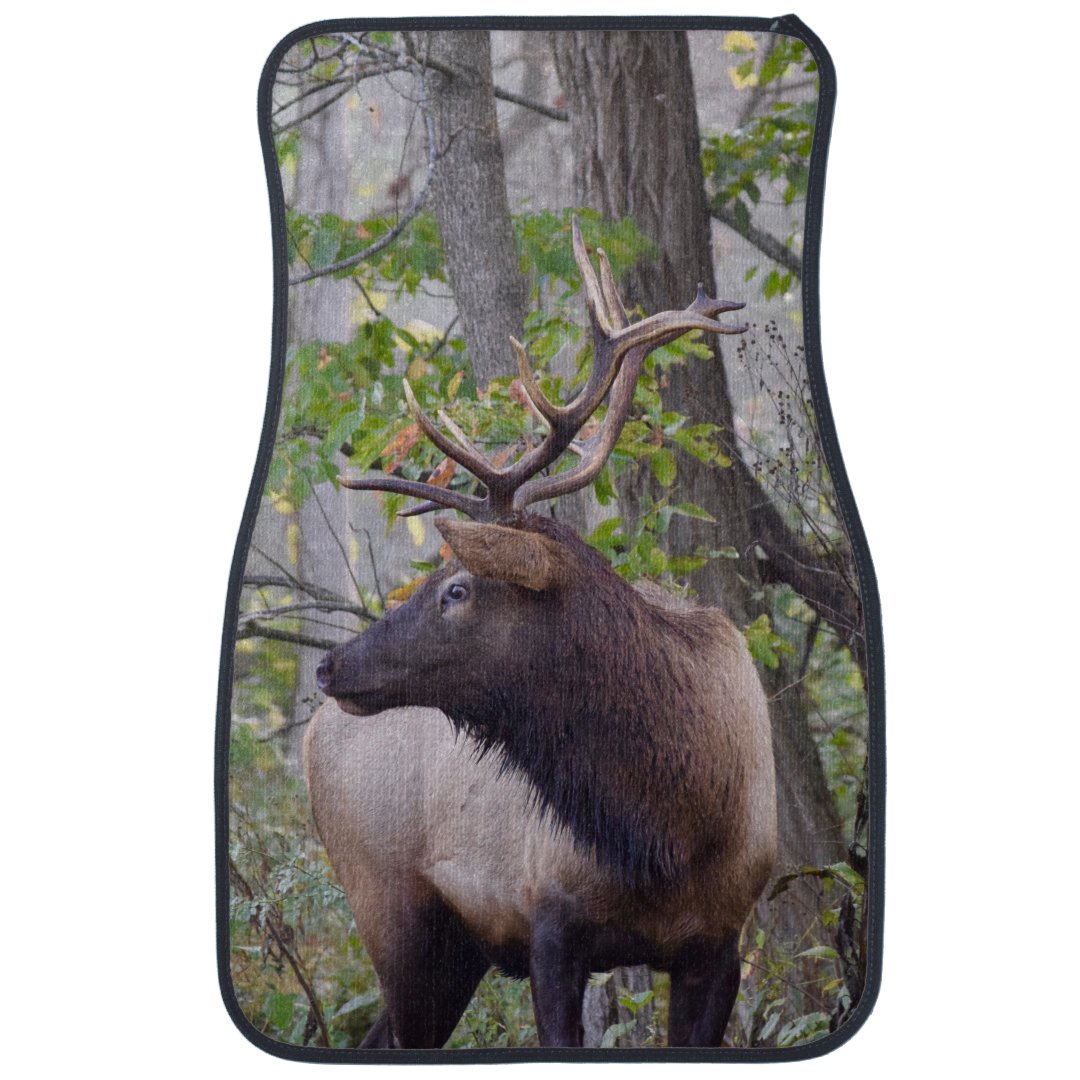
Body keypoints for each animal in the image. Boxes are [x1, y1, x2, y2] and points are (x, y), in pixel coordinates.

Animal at [306, 218, 777, 1049]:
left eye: (457, 588)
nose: (329, 667)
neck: (674, 830)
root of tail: (305, 737)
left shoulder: (722, 940)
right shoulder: (549, 920)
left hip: (450, 949)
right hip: (390, 909)